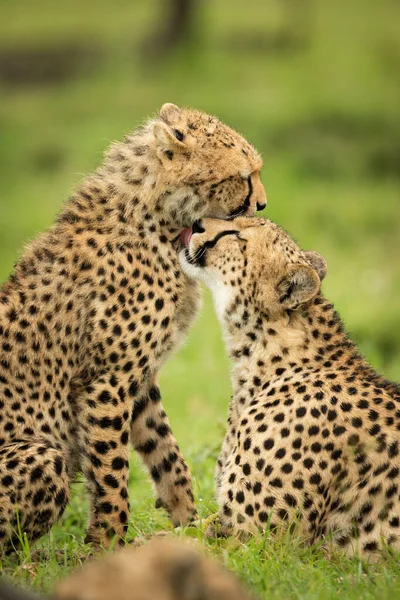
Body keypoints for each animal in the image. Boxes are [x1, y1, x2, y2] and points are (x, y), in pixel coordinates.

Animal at [0, 104, 266, 552]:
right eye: (243, 175)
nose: (262, 205)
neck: (158, 218)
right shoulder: (107, 381)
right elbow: (111, 472)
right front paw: (107, 545)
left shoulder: (139, 378)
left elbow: (168, 455)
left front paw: (187, 524)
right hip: (43, 456)